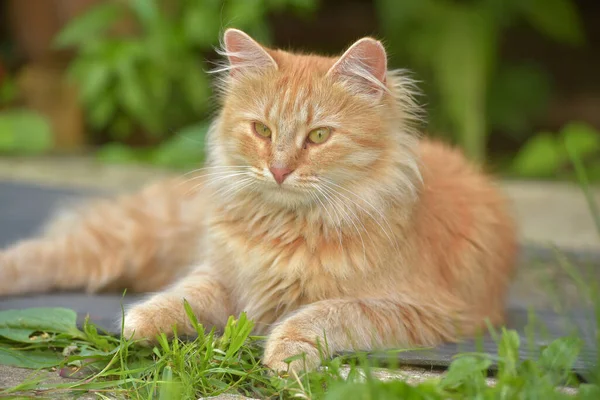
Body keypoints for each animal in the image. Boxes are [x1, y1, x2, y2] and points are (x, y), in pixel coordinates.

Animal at [0, 29, 516, 374]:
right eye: (262, 130)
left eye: (319, 136)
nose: (280, 169)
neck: (287, 227)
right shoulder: (223, 273)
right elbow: (179, 295)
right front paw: (138, 323)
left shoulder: (418, 307)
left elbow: (324, 313)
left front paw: (285, 354)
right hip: (126, 240)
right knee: (37, 254)